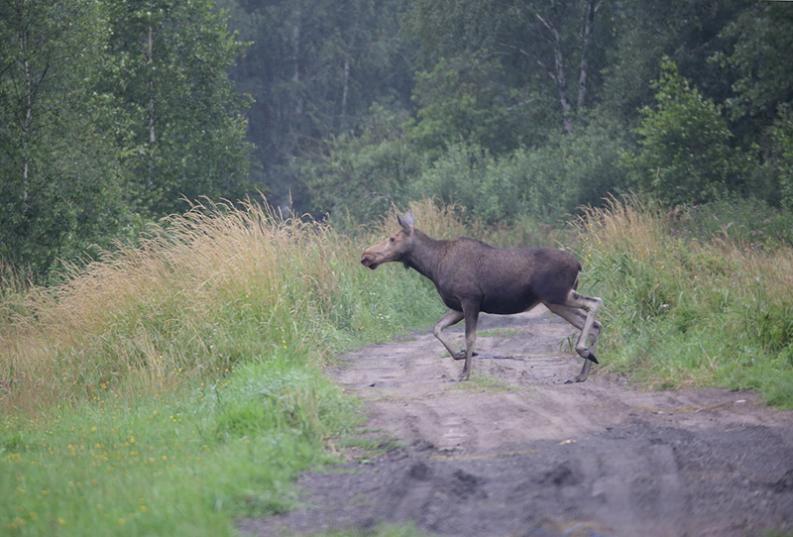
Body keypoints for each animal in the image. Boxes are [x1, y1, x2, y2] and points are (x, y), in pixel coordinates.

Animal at [362, 211, 604, 384]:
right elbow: (437, 328)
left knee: (595, 303)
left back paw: (583, 351)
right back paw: (582, 372)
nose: (366, 255)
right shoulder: (458, 305)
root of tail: (578, 265)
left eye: (392, 238)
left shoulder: (470, 299)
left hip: (558, 294)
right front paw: (460, 356)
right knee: (593, 324)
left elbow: (470, 337)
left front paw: (464, 373)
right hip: (555, 302)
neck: (432, 266)